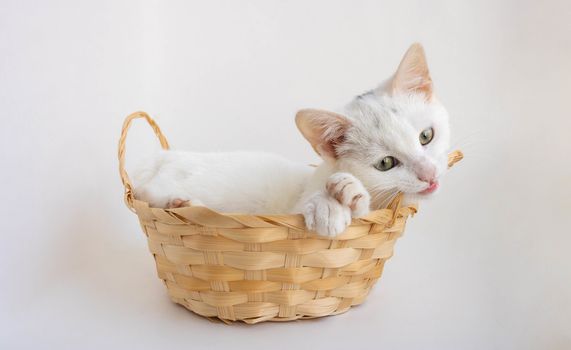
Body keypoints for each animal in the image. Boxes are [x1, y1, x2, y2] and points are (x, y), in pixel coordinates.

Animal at [133, 42, 452, 237]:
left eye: (426, 136)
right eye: (386, 163)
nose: (429, 174)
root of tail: (165, 156)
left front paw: (348, 195)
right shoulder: (290, 211)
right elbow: (308, 207)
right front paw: (329, 205)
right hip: (160, 186)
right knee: (149, 193)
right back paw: (182, 203)